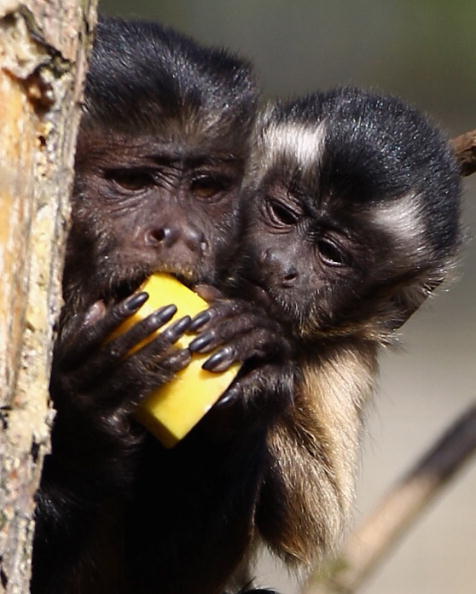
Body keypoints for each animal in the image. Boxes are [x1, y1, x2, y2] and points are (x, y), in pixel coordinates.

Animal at [186, 89, 462, 584]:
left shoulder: (350, 355)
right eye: (283, 215)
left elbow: (314, 525)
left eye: (330, 253)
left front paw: (258, 363)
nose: (280, 264)